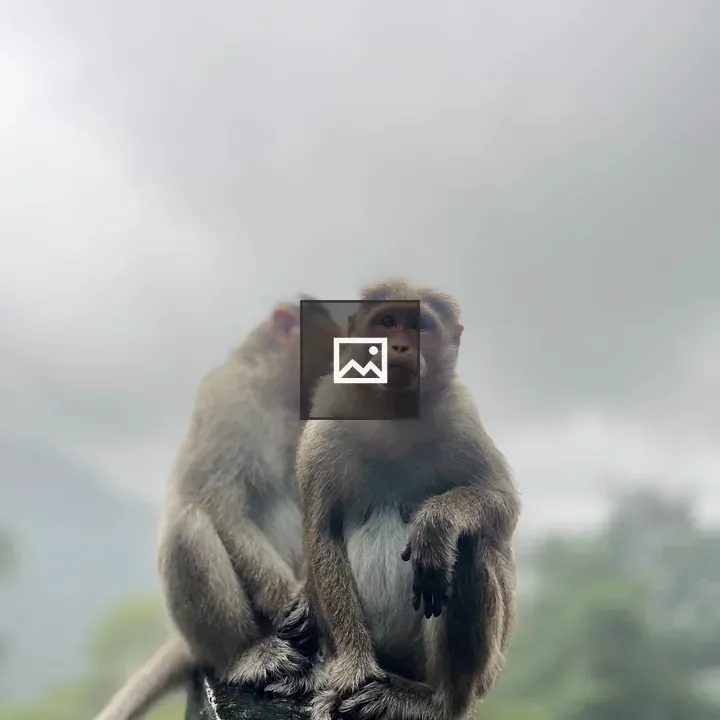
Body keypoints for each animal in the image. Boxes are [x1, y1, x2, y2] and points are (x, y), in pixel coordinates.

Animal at [92, 296, 341, 720]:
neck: (277, 394)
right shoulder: (225, 397)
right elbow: (218, 505)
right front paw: (288, 600)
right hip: (206, 632)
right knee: (189, 525)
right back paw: (247, 653)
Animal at [262, 279, 521, 720]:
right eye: (387, 321)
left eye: (420, 325)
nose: (398, 346)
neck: (393, 414)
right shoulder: (329, 416)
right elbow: (322, 529)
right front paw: (352, 667)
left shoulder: (460, 414)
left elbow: (502, 501)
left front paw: (436, 523)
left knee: (471, 543)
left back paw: (437, 702)